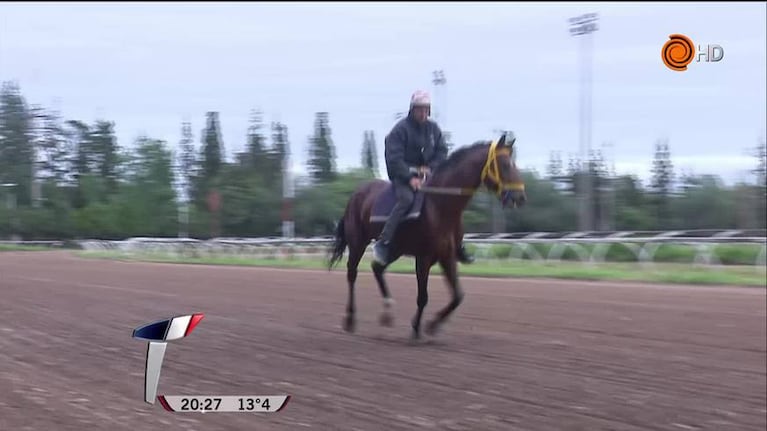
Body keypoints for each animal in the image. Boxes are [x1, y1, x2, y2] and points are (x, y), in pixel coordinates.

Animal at [324, 132, 528, 340]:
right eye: (505, 164)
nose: (519, 197)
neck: (439, 204)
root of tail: (355, 194)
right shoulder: (424, 257)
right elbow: (423, 297)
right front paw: (416, 328)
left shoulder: (446, 256)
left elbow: (458, 296)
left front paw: (432, 325)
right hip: (358, 242)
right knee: (352, 273)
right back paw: (350, 318)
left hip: (395, 248)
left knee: (377, 268)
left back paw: (387, 312)